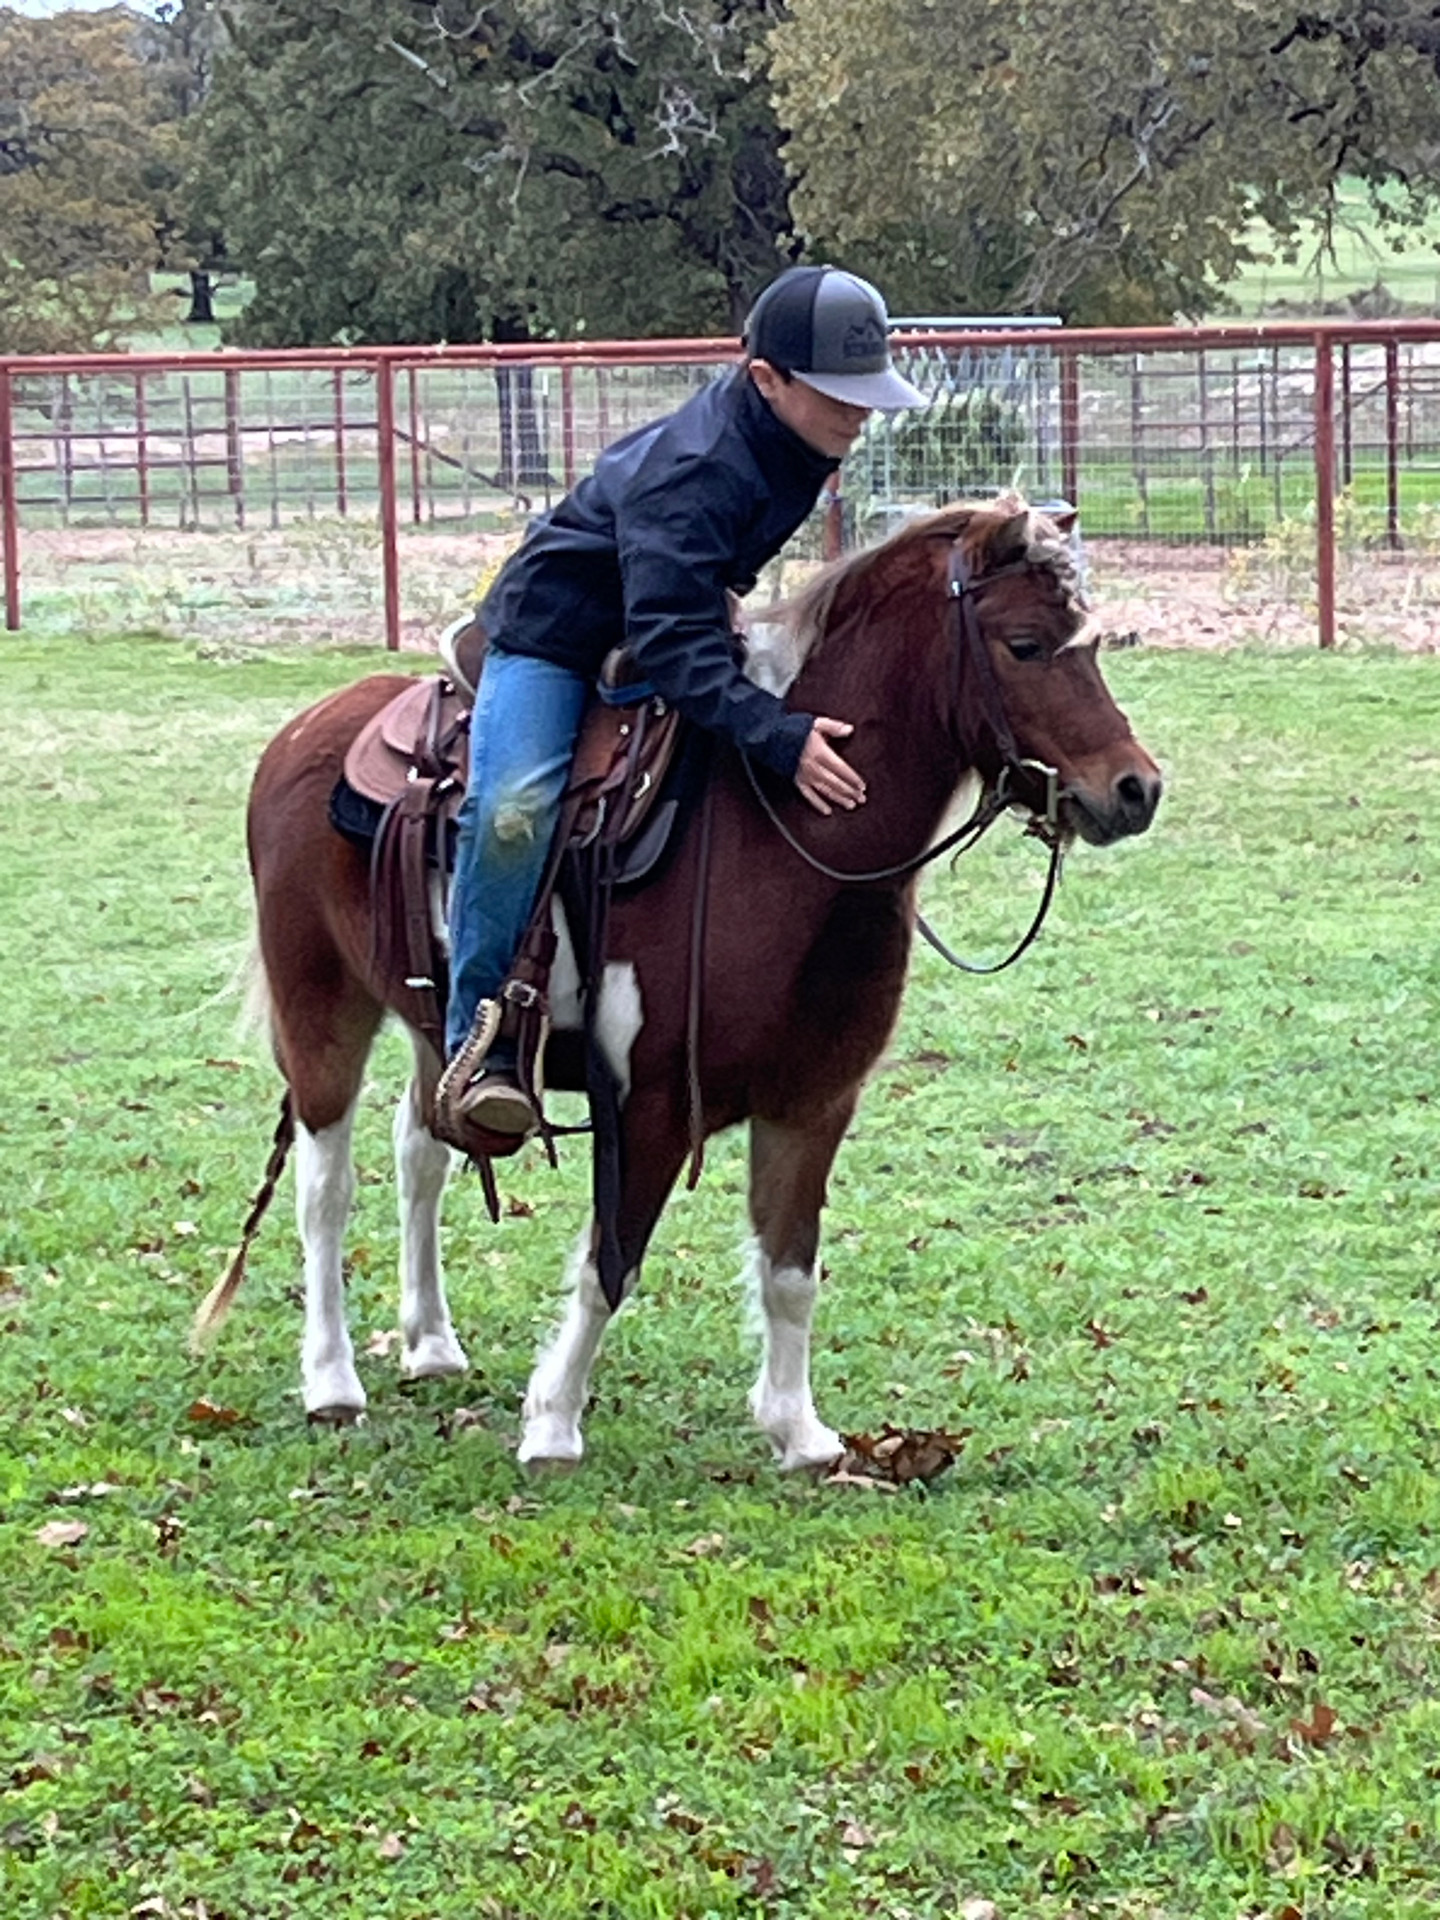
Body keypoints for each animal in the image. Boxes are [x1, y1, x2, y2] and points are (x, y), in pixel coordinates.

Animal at [203, 495, 1167, 1466]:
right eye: (1024, 645)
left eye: (1090, 641)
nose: (1137, 790)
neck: (777, 837)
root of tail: (304, 731)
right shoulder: (650, 1102)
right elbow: (612, 1260)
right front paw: (553, 1423)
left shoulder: (813, 1104)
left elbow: (791, 1269)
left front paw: (798, 1430)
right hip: (321, 1006)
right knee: (325, 1190)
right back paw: (332, 1380)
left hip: (437, 1025)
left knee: (422, 1152)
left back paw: (432, 1344)